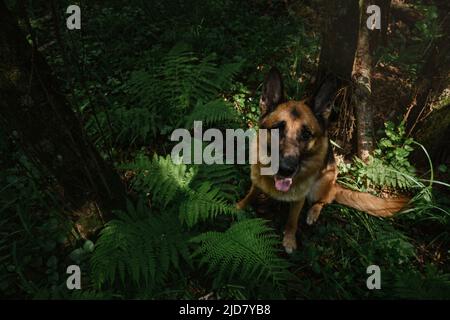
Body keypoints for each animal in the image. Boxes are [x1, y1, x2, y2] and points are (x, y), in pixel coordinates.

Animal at [237, 68, 410, 252]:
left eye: (306, 134)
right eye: (277, 129)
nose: (286, 169)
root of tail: (334, 184)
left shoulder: (299, 199)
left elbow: (292, 221)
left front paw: (289, 240)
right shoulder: (257, 182)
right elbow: (249, 196)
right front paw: (237, 208)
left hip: (321, 184)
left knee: (326, 199)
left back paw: (313, 212)